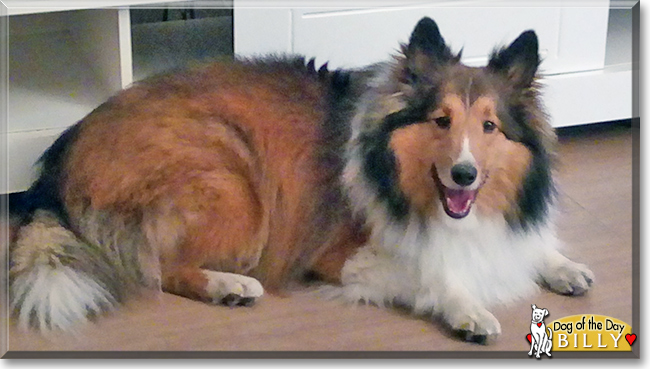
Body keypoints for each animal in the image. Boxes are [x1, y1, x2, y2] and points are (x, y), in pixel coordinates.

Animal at [7, 15, 592, 340]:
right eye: (440, 120)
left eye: (489, 126)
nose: (464, 176)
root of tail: (55, 162)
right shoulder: (344, 254)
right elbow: (432, 272)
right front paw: (468, 309)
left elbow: (526, 246)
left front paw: (563, 266)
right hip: (234, 181)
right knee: (160, 268)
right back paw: (231, 286)